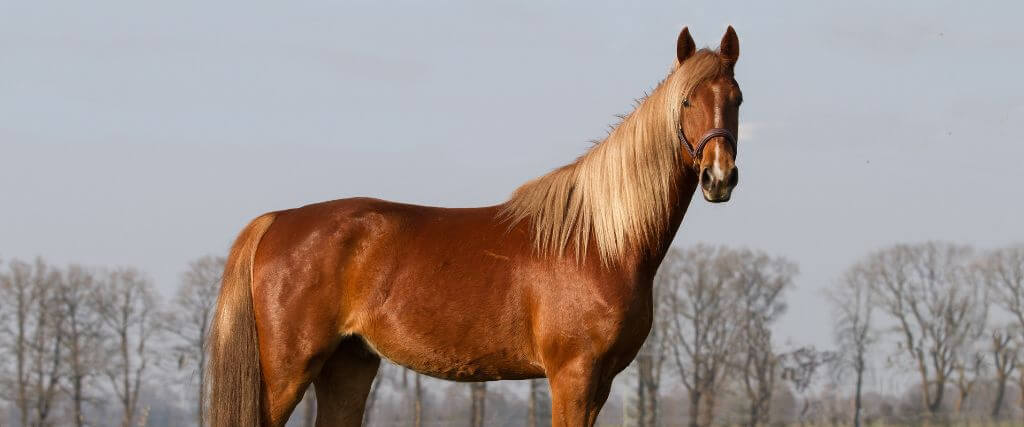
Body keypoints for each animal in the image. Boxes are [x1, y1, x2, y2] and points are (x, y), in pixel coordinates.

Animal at [206, 26, 743, 427]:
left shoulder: (601, 382)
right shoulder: (574, 375)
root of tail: (277, 222)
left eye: (737, 98)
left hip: (348, 366)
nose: (719, 177)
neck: (596, 241)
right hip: (286, 374)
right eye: (687, 102)